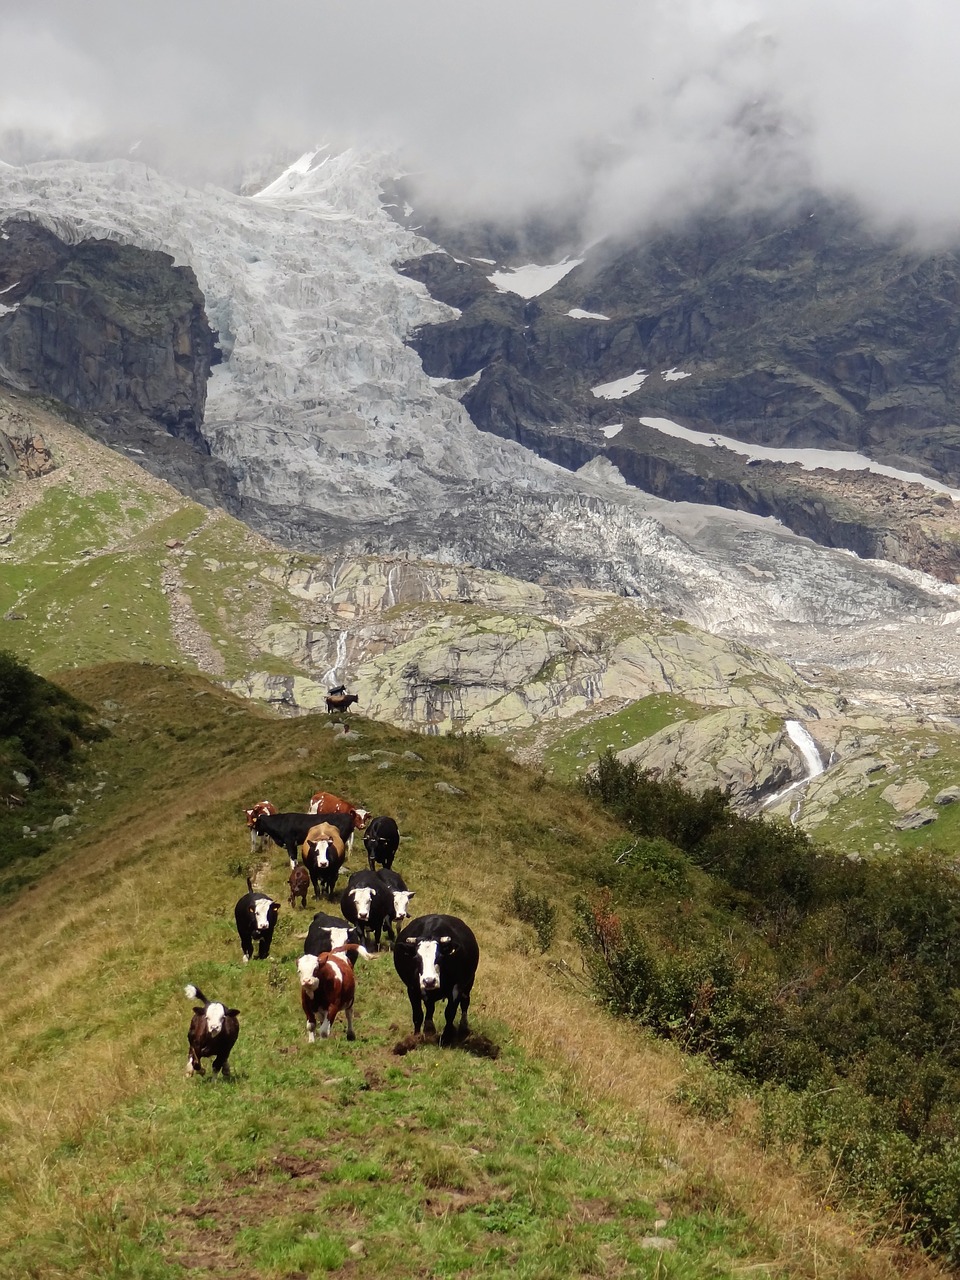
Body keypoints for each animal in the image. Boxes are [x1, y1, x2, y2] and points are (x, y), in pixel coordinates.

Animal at [391, 916, 478, 1044]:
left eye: (440, 957)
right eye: (417, 958)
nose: (429, 981)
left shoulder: (456, 987)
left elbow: (450, 1012)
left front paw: (447, 1037)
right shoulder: (412, 989)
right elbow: (418, 1014)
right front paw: (416, 1037)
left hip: (469, 982)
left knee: (465, 1002)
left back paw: (463, 1027)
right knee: (430, 1006)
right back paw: (429, 1028)